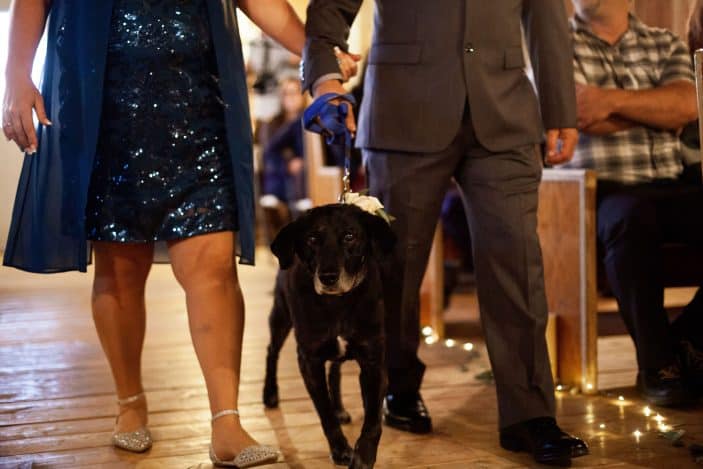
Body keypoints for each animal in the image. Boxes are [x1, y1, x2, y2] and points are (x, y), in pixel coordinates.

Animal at [264, 202, 396, 468]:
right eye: (312, 239)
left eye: (349, 236)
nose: (328, 277)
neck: (338, 303)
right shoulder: (309, 360)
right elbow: (324, 412)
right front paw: (340, 449)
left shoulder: (374, 361)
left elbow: (373, 419)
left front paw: (364, 456)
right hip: (280, 316)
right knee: (271, 351)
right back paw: (270, 393)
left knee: (334, 371)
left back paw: (340, 408)